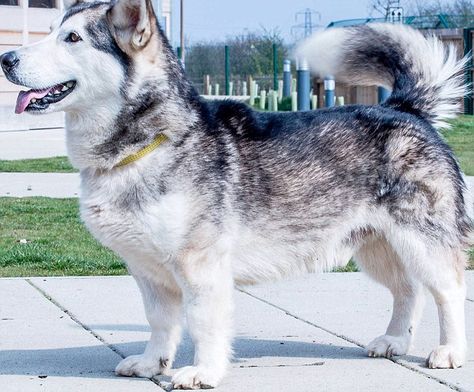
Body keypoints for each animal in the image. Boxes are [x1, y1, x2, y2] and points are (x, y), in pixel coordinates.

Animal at [1, 0, 472, 388]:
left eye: (73, 38)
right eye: (50, 31)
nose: (6, 58)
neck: (151, 143)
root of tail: (403, 108)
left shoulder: (200, 266)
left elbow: (203, 323)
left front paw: (204, 371)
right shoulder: (147, 270)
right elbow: (160, 321)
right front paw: (154, 363)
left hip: (421, 242)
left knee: (447, 291)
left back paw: (450, 350)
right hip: (375, 248)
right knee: (407, 290)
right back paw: (394, 340)